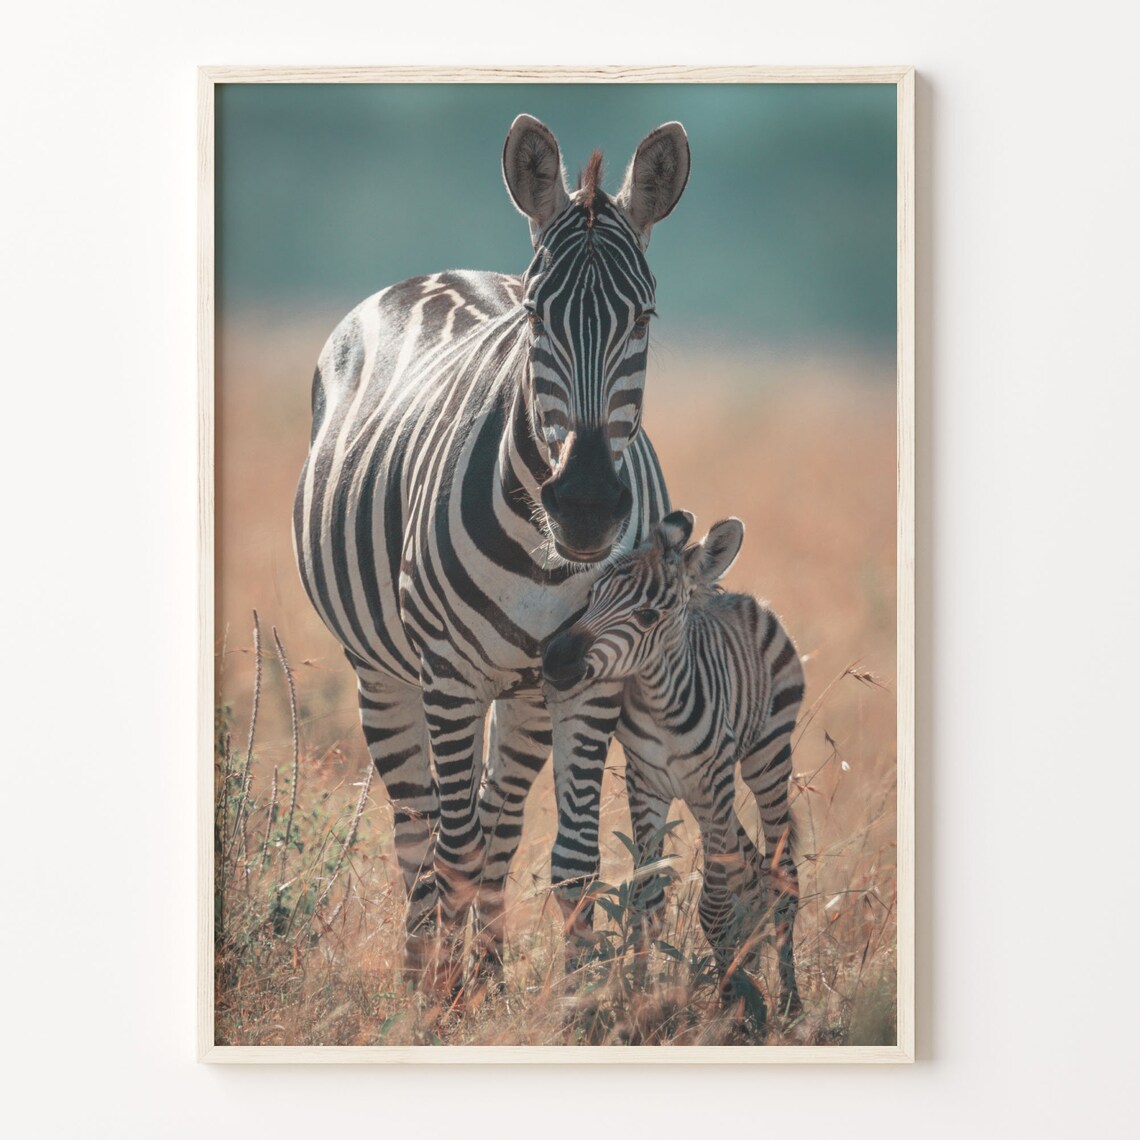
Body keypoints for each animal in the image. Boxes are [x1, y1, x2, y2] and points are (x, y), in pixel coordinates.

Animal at [293, 114, 690, 990]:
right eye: (538, 318)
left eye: (644, 319)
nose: (585, 505)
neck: (548, 560)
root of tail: (444, 272)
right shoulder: (447, 672)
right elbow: (453, 849)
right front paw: (444, 1002)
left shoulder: (590, 677)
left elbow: (572, 860)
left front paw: (578, 1001)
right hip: (386, 673)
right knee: (423, 833)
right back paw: (422, 981)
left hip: (527, 690)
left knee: (497, 823)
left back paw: (488, 974)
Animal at [542, 511, 805, 1021]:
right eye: (592, 595)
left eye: (647, 615)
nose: (554, 658)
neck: (661, 702)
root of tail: (739, 596)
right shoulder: (645, 785)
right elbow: (646, 900)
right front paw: (640, 996)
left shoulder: (716, 784)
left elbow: (715, 907)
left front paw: (729, 1005)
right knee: (753, 868)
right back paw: (753, 972)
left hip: (766, 759)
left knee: (782, 876)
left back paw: (789, 1002)